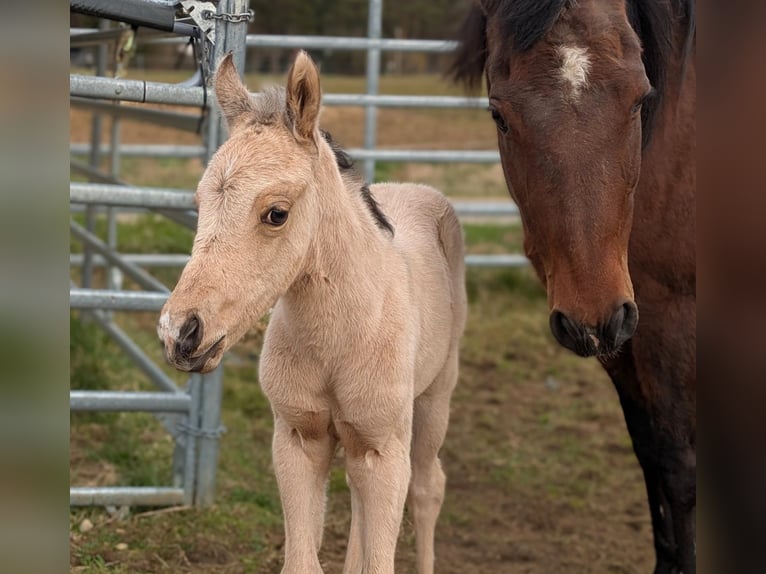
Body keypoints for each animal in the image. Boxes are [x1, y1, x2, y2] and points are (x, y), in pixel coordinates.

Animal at [158, 51, 467, 574]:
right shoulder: (300, 438)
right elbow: (304, 558)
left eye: (276, 213)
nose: (180, 333)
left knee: (430, 489)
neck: (342, 337)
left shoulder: (385, 450)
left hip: (433, 401)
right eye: (199, 204)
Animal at [452, 1, 695, 572]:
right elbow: (653, 455)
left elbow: (679, 466)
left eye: (641, 99)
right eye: (498, 114)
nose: (592, 317)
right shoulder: (633, 329)